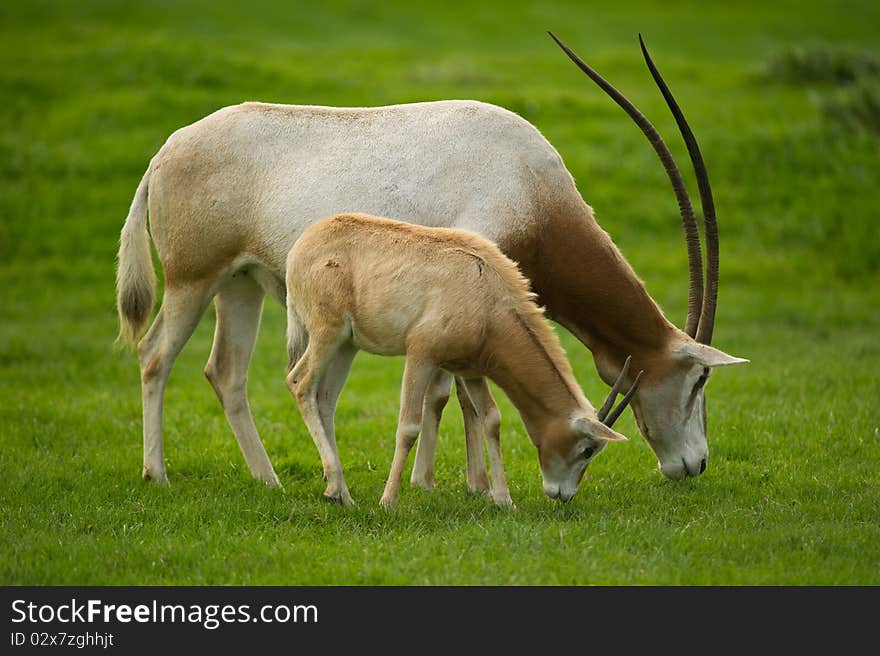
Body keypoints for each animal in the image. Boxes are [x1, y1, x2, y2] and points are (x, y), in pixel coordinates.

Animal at [284, 213, 632, 504]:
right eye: (588, 449)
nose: (564, 495)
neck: (487, 295)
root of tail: (304, 243)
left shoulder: (471, 369)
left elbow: (492, 419)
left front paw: (503, 500)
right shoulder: (420, 355)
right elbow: (409, 426)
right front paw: (388, 501)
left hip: (347, 345)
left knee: (324, 398)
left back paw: (338, 492)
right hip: (328, 333)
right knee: (300, 383)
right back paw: (342, 489)